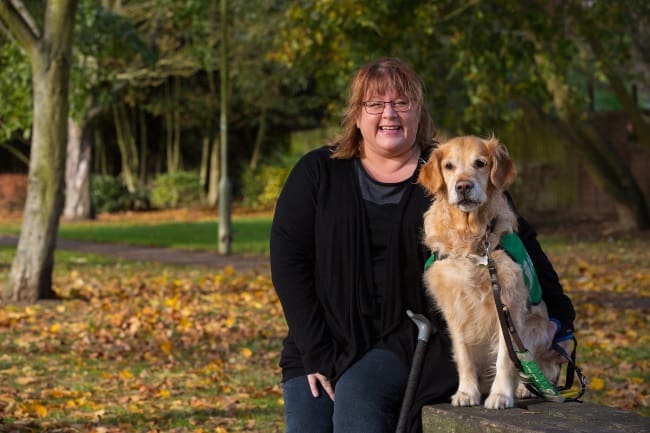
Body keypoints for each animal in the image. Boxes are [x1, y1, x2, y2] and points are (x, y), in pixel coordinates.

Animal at [420, 135, 556, 408]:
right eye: (448, 166)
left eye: (480, 163)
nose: (463, 186)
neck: (471, 237)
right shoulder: (455, 309)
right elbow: (463, 356)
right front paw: (466, 392)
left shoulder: (508, 303)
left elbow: (506, 358)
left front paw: (501, 395)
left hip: (536, 328)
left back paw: (523, 389)